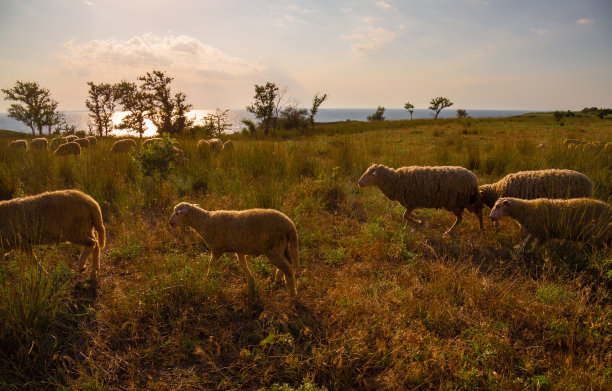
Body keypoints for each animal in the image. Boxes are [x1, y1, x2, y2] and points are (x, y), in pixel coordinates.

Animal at [169, 202, 300, 298]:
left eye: (177, 213)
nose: (170, 223)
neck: (204, 221)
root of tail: (290, 225)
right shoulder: (239, 248)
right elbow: (243, 265)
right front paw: (251, 282)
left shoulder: (216, 249)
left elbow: (211, 266)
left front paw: (205, 281)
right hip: (282, 247)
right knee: (288, 264)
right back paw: (278, 279)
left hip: (274, 249)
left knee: (287, 268)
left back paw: (292, 293)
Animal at [356, 163, 486, 234]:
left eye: (370, 174)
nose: (359, 183)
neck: (394, 180)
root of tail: (474, 178)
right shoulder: (410, 204)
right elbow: (406, 217)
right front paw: (406, 227)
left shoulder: (410, 202)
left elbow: (405, 216)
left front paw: (419, 223)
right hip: (467, 201)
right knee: (477, 214)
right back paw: (481, 229)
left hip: (458, 201)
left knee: (464, 217)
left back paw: (451, 231)